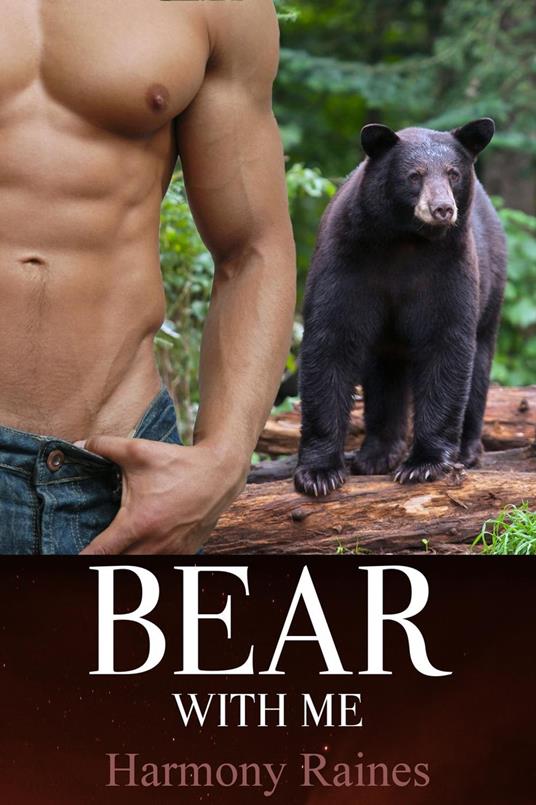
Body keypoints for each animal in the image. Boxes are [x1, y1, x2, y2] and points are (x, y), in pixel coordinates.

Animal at [294, 118, 507, 497]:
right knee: (384, 378)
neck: (405, 240)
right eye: (414, 175)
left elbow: (445, 345)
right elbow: (331, 340)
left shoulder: (448, 268)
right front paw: (318, 473)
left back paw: (467, 450)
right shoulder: (347, 260)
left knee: (479, 364)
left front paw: (423, 464)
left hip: (491, 289)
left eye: (453, 173)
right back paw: (377, 453)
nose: (443, 209)